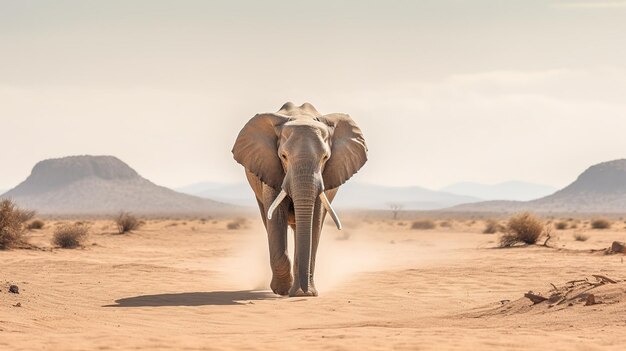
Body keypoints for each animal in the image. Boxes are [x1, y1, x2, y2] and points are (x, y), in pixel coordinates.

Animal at [232, 102, 366, 296]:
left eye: (325, 158)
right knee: (268, 219)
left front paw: (305, 293)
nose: (306, 292)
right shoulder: (270, 167)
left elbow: (315, 220)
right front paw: (282, 290)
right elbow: (276, 219)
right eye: (283, 156)